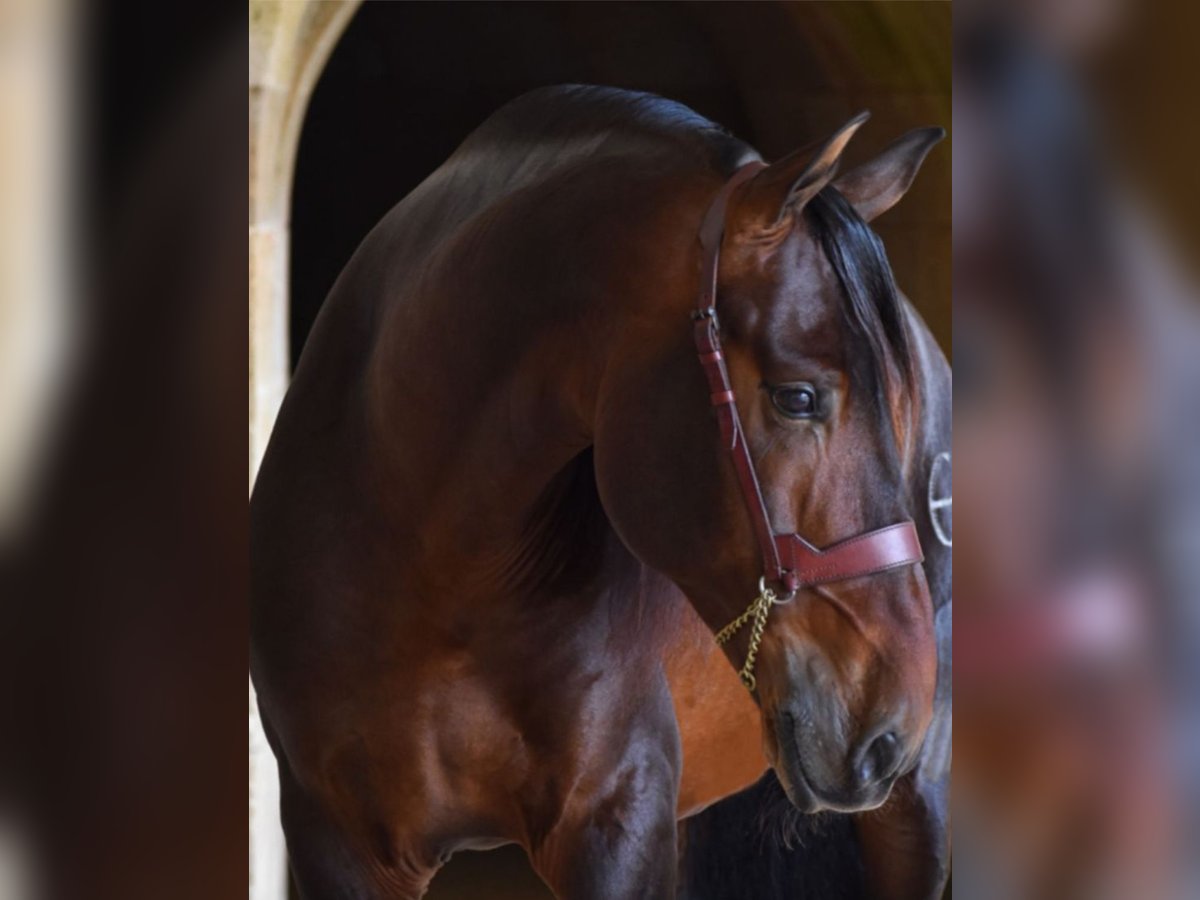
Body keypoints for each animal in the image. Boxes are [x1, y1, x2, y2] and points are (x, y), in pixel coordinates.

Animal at [250, 85, 950, 899]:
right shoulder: (335, 842)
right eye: (798, 398)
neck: (434, 577)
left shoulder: (616, 823)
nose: (894, 720)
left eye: (898, 407)